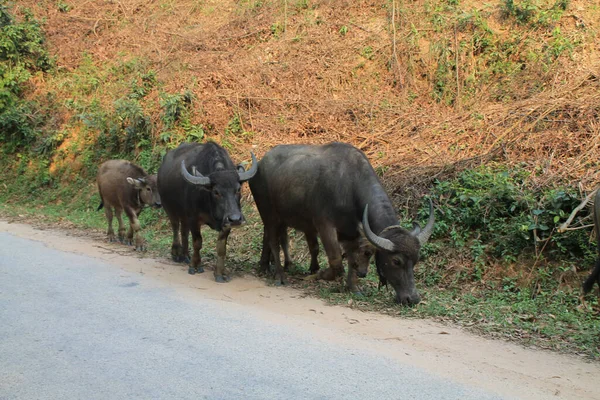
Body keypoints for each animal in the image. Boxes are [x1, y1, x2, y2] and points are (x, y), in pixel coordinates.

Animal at [157, 142, 255, 282]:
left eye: (238, 189)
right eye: (216, 192)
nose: (235, 219)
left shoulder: (225, 223)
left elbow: (221, 248)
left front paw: (220, 273)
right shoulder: (194, 219)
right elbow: (197, 242)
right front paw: (195, 266)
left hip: (185, 215)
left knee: (184, 231)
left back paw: (186, 255)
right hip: (169, 208)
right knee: (175, 227)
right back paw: (177, 254)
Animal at [250, 142, 436, 304]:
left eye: (416, 260)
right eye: (396, 261)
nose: (412, 299)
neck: (349, 185)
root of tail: (261, 162)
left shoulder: (350, 231)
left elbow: (352, 260)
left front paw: (353, 288)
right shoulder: (324, 226)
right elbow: (337, 262)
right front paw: (317, 274)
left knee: (267, 237)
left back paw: (264, 266)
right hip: (268, 213)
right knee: (274, 241)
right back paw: (279, 275)